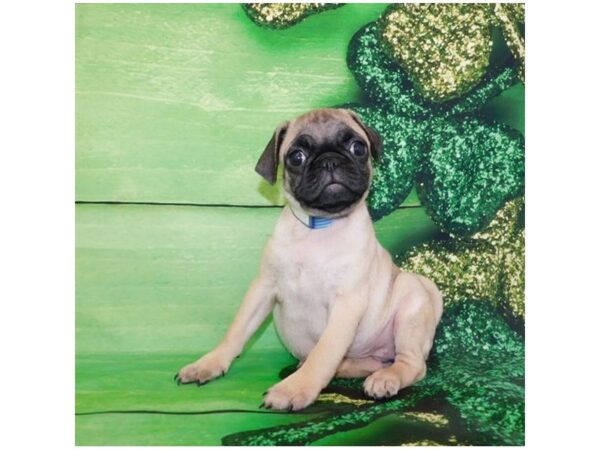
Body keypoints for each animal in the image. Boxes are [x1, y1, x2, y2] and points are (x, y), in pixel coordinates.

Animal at [176, 107, 442, 410]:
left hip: (412, 306)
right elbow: (236, 331)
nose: (329, 161)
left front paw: (295, 388)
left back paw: (387, 378)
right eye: (296, 157)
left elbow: (324, 351)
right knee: (367, 362)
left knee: (413, 364)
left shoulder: (346, 303)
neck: (320, 227)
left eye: (358, 147)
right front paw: (209, 363)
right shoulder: (263, 288)